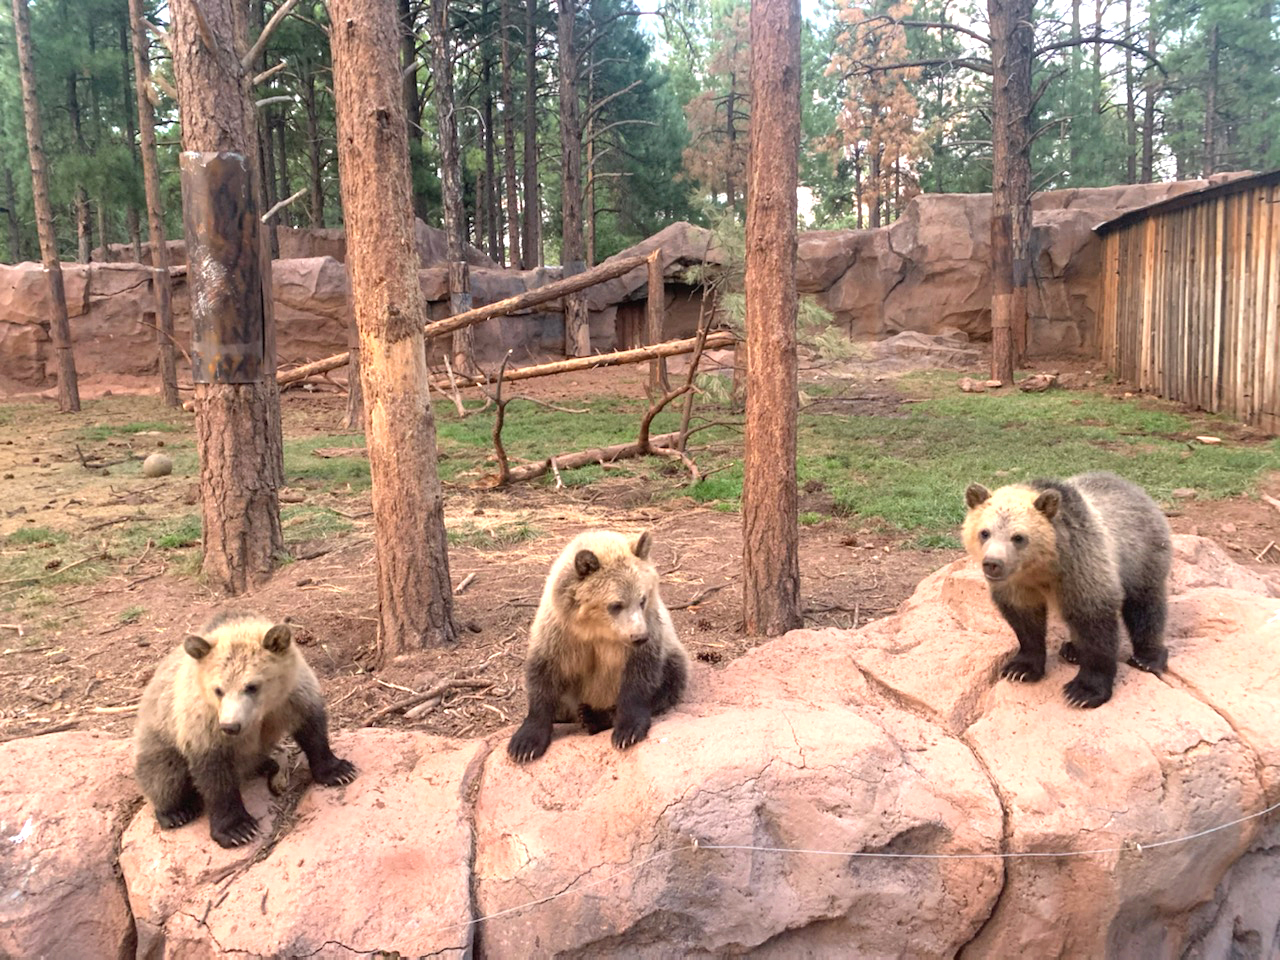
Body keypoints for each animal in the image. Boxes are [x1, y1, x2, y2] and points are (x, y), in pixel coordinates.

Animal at [134, 612, 356, 848]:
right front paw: (236, 829)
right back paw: (176, 811)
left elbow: (312, 731)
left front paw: (338, 771)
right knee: (164, 776)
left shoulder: (294, 696)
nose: (230, 726)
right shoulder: (203, 723)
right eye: (218, 690)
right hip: (159, 742)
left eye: (252, 686)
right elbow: (215, 776)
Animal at [507, 529, 690, 762]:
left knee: (672, 679)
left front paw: (627, 731)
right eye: (616, 604)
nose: (640, 636)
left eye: (642, 599)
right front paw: (525, 743)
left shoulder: (647, 634)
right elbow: (544, 676)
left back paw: (592, 716)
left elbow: (640, 678)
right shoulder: (560, 632)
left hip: (672, 655)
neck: (596, 629)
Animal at [962, 471, 1172, 709]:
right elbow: (1025, 623)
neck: (1041, 568)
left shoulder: (1081, 565)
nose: (993, 564)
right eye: (984, 532)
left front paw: (1084, 691)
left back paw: (1147, 657)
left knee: (1145, 605)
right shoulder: (1017, 585)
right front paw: (1020, 669)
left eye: (1018, 537)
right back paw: (1072, 649)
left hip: (1141, 554)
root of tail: (1135, 488)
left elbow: (1094, 624)